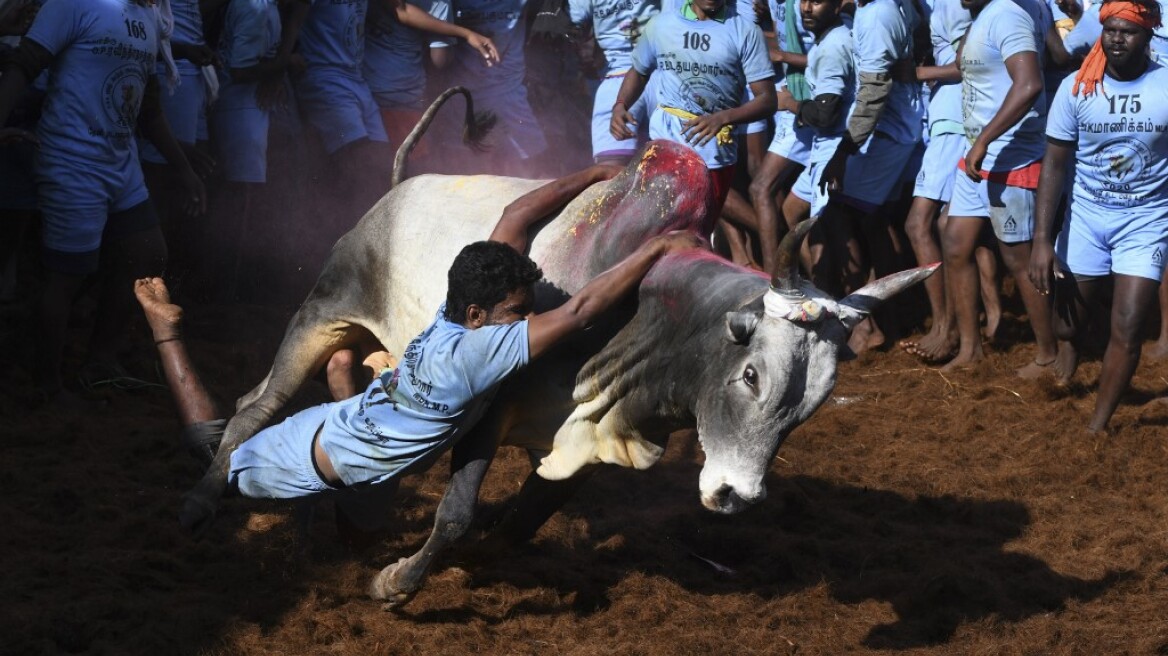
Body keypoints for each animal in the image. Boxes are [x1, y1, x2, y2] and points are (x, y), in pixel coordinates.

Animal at [177, 88, 934, 606]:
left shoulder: (594, 437)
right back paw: (204, 504)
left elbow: (514, 525)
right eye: (750, 374)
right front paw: (396, 581)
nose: (733, 496)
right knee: (255, 405)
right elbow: (456, 515)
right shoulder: (489, 408)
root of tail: (395, 190)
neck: (640, 322)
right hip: (323, 311)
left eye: (814, 403)